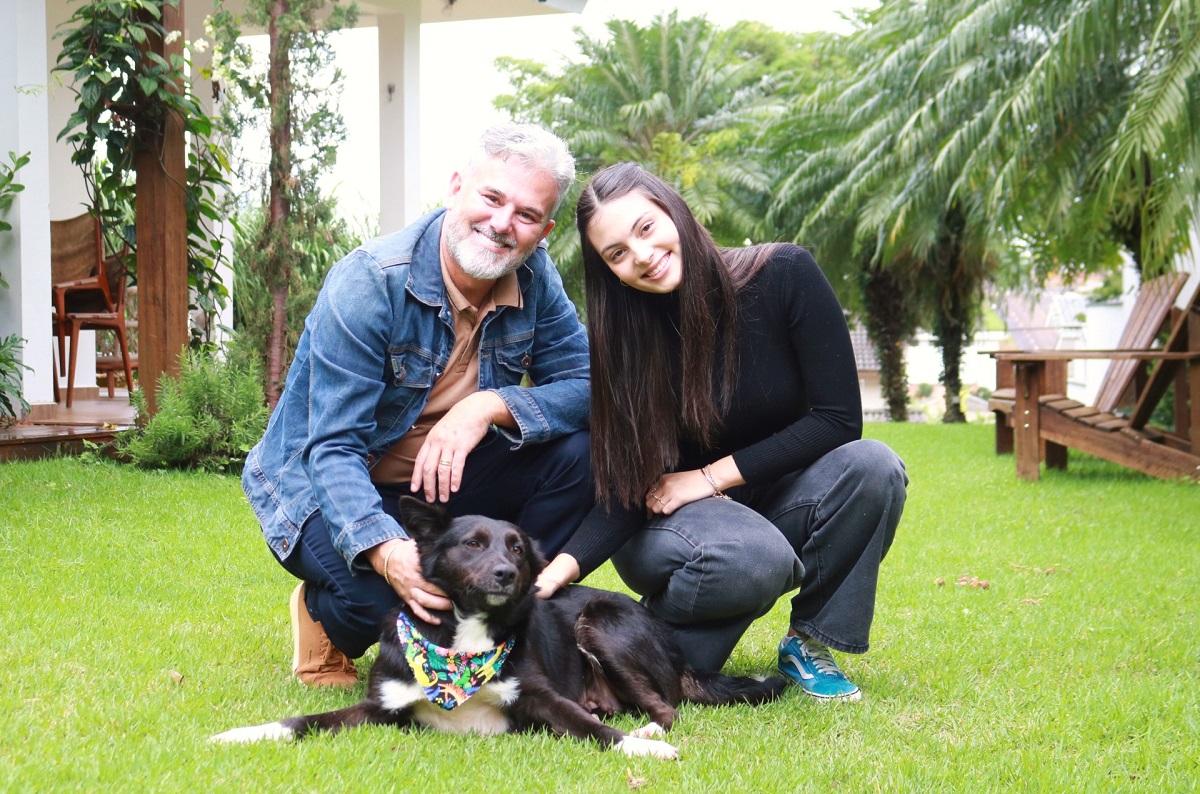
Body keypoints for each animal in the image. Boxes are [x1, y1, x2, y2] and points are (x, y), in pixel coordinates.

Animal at [210, 501, 782, 762]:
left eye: (518, 549)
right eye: (472, 544)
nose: (507, 574)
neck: (461, 646)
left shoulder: (540, 699)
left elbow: (595, 731)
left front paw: (640, 751)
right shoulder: (381, 707)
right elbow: (304, 721)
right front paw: (243, 733)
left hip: (600, 621)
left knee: (665, 708)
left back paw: (648, 734)